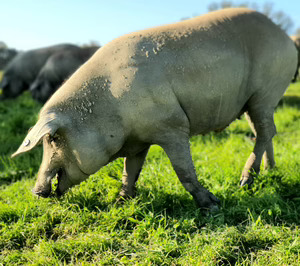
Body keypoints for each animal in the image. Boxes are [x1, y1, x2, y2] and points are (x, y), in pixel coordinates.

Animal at [12, 8, 298, 211]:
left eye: (52, 139)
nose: (35, 191)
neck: (110, 107)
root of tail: (284, 37)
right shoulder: (138, 141)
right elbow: (130, 171)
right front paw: (121, 202)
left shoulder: (172, 126)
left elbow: (183, 171)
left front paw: (213, 206)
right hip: (253, 102)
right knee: (264, 132)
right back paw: (269, 171)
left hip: (266, 92)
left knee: (265, 132)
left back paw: (245, 183)